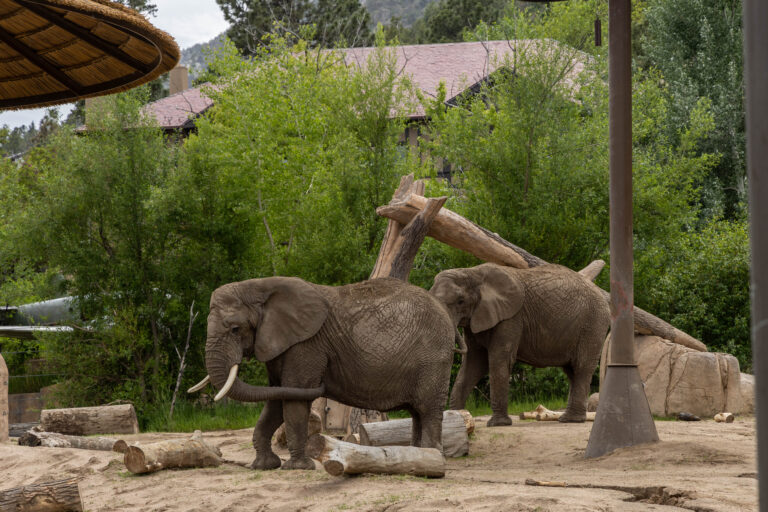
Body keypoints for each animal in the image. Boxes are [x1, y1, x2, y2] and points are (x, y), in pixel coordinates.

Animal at [190, 278, 460, 470]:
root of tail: (445, 311)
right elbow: (276, 398)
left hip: (434, 359)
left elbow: (294, 396)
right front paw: (263, 466)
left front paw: (297, 468)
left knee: (427, 409)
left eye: (235, 329)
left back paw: (433, 457)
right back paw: (419, 456)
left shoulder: (306, 345)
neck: (260, 286)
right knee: (417, 412)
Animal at [428, 262, 608, 426]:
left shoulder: (511, 317)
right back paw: (570, 418)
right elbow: (473, 364)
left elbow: (498, 360)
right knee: (572, 371)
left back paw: (571, 420)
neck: (472, 272)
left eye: (460, 301)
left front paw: (498, 424)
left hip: (593, 323)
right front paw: (457, 418)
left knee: (581, 366)